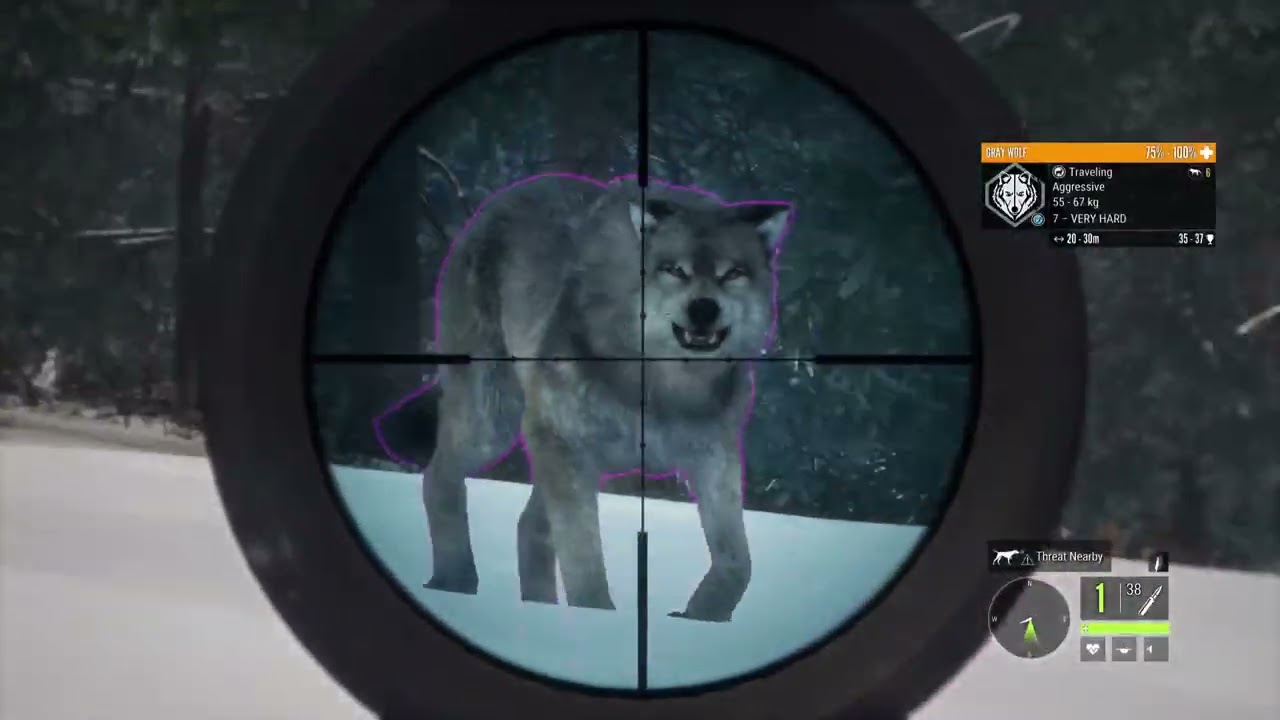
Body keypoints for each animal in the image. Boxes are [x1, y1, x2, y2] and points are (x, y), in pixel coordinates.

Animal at [409, 172, 791, 623]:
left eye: (732, 273)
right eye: (674, 270)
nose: (703, 309)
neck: (665, 386)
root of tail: (499, 200)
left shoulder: (713, 454)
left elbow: (739, 563)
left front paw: (701, 619)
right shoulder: (560, 437)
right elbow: (584, 556)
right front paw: (598, 620)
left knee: (528, 525)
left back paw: (537, 608)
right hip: (496, 424)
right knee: (438, 478)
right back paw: (456, 584)